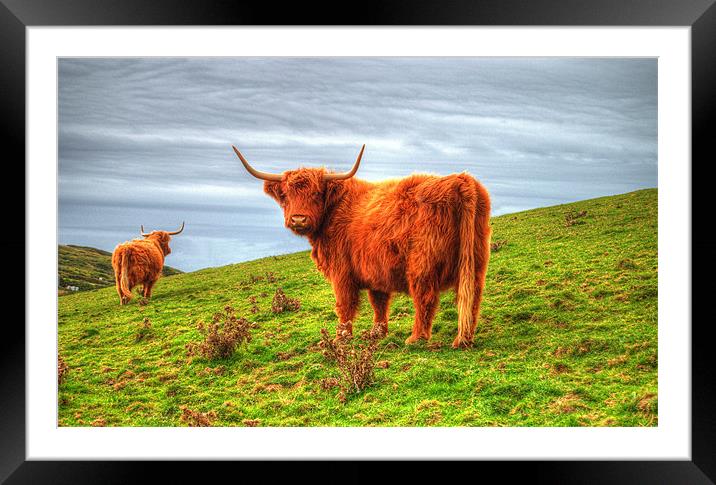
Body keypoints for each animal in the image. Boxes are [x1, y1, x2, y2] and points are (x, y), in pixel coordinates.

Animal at [232, 145, 490, 348]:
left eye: (316, 193)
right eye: (285, 195)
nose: (298, 219)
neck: (334, 210)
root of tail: (460, 180)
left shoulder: (342, 272)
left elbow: (345, 305)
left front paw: (341, 337)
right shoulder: (376, 272)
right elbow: (379, 303)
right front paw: (377, 333)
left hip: (422, 265)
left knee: (425, 298)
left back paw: (416, 338)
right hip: (475, 262)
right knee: (472, 297)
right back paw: (465, 337)